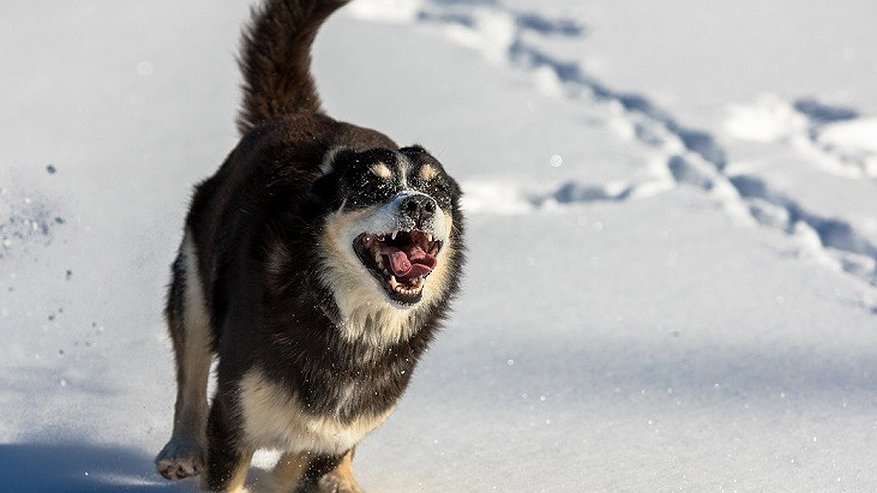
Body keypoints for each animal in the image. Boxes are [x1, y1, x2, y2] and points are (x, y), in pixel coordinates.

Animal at [154, 1, 466, 490]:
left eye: (438, 191)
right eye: (371, 188)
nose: (420, 203)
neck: (351, 323)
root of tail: (294, 116)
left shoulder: (337, 429)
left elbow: (302, 462)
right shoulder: (235, 418)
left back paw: (342, 478)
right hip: (194, 285)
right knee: (191, 376)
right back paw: (182, 449)